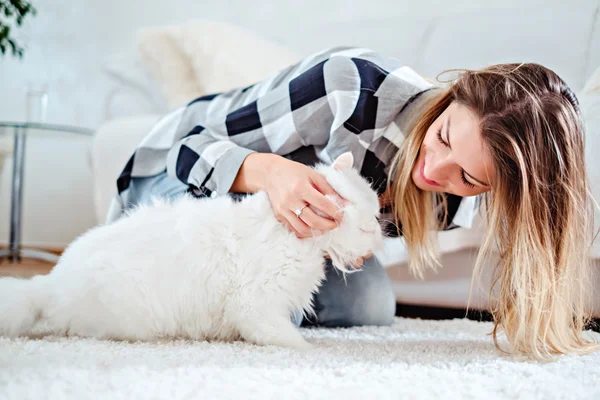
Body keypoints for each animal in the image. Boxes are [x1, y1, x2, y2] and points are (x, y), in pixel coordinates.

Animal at [0, 152, 384, 348]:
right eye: (369, 225)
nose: (381, 238)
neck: (292, 234)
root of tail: (49, 283)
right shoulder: (257, 306)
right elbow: (289, 339)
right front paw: (310, 350)